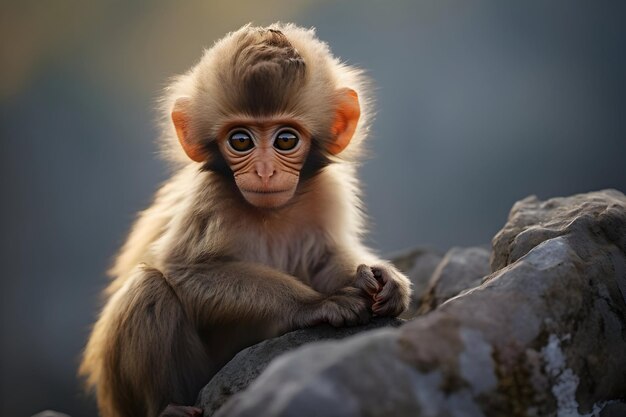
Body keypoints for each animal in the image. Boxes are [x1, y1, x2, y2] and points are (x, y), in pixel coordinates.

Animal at [78, 23, 410, 416]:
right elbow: (185, 272)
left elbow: (325, 256)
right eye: (240, 140)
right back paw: (168, 407)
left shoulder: (327, 192)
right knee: (149, 287)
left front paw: (378, 278)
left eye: (285, 139)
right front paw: (317, 304)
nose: (265, 171)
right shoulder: (209, 198)